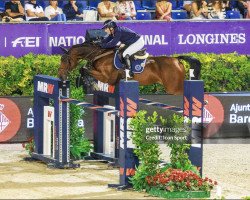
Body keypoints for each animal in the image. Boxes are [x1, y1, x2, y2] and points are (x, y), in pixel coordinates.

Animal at [57, 42, 200, 94]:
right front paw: (86, 82)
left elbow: (84, 69)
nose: (60, 75)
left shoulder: (107, 77)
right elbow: (84, 70)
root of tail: (177, 60)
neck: (100, 54)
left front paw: (91, 84)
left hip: (174, 88)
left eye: (65, 60)